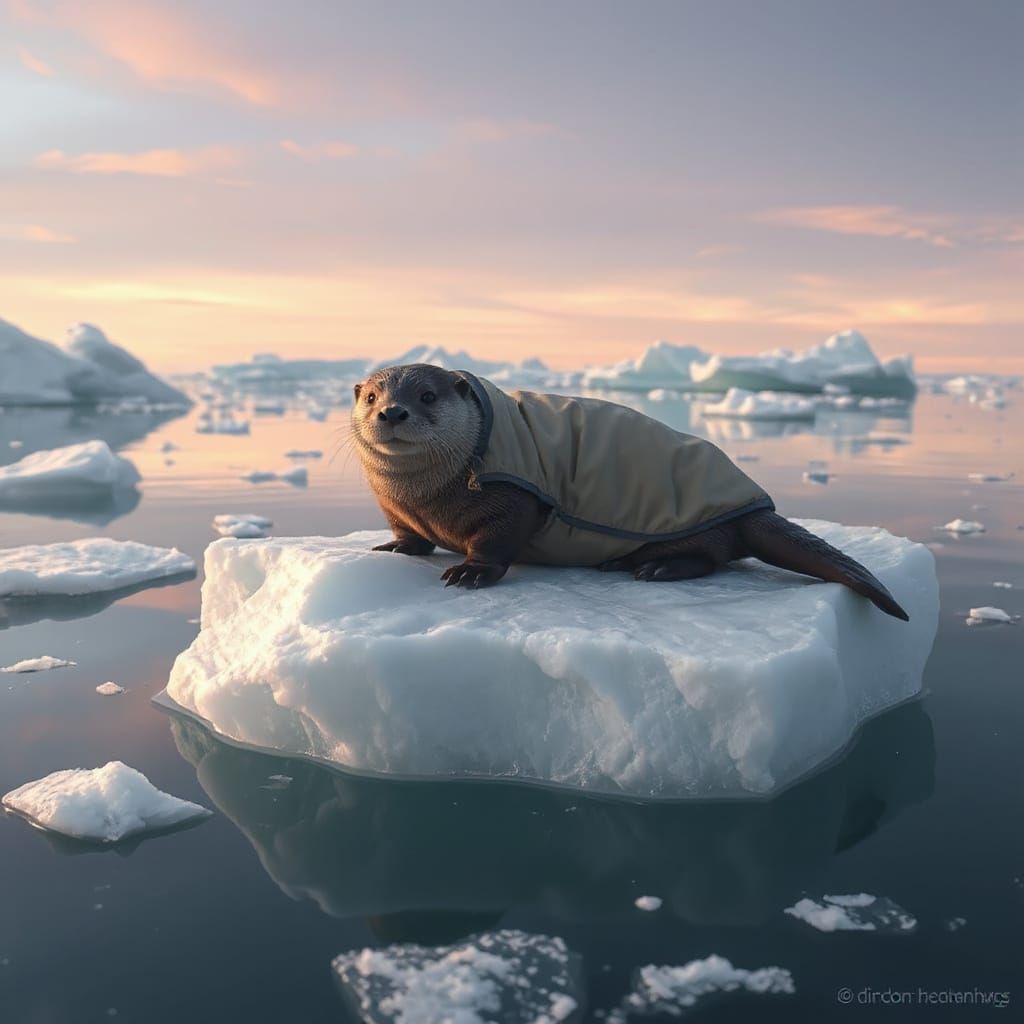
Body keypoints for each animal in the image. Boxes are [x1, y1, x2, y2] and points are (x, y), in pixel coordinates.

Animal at [351, 363, 909, 620]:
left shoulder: (515, 497)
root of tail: (750, 504)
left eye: (426, 395)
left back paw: (652, 568)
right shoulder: (392, 506)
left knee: (715, 554)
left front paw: (470, 571)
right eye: (373, 395)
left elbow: (497, 540)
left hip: (699, 527)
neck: (425, 496)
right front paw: (396, 547)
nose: (392, 411)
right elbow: (407, 534)